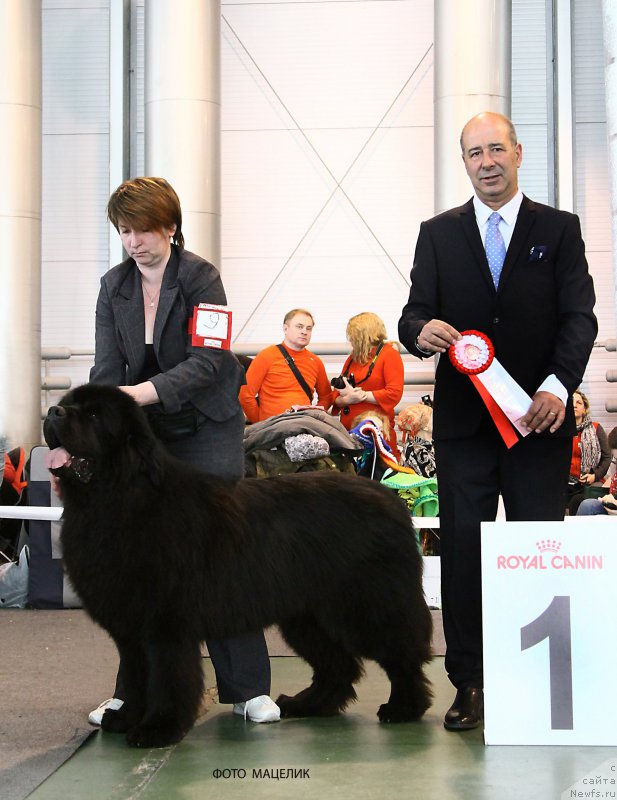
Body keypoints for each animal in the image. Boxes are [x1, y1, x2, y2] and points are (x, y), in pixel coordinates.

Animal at [43, 384, 430, 748]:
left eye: (94, 415)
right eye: (68, 403)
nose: (52, 412)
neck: (119, 498)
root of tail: (391, 501)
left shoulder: (165, 626)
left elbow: (166, 677)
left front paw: (158, 728)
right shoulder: (130, 625)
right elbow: (135, 676)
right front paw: (125, 718)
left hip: (369, 606)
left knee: (402, 654)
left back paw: (404, 707)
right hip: (305, 616)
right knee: (339, 665)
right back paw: (308, 704)